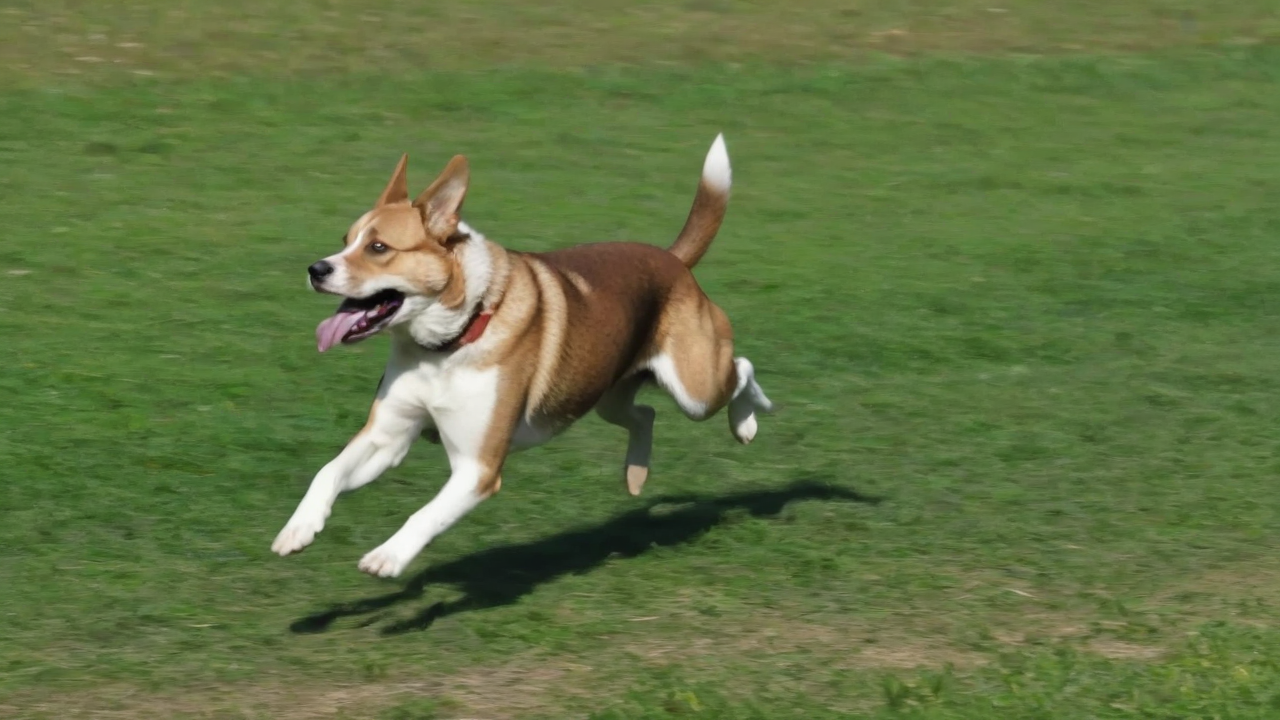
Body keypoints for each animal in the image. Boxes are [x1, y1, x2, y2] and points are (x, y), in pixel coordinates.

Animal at [270, 134, 768, 573]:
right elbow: (327, 472)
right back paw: (635, 474)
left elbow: (425, 514)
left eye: (378, 248)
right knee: (645, 414)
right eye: (346, 239)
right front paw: (298, 529)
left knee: (740, 368)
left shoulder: (477, 468)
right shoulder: (388, 438)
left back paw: (747, 423)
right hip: (604, 394)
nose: (316, 269)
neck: (448, 345)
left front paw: (388, 557)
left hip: (695, 387)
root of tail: (674, 261)